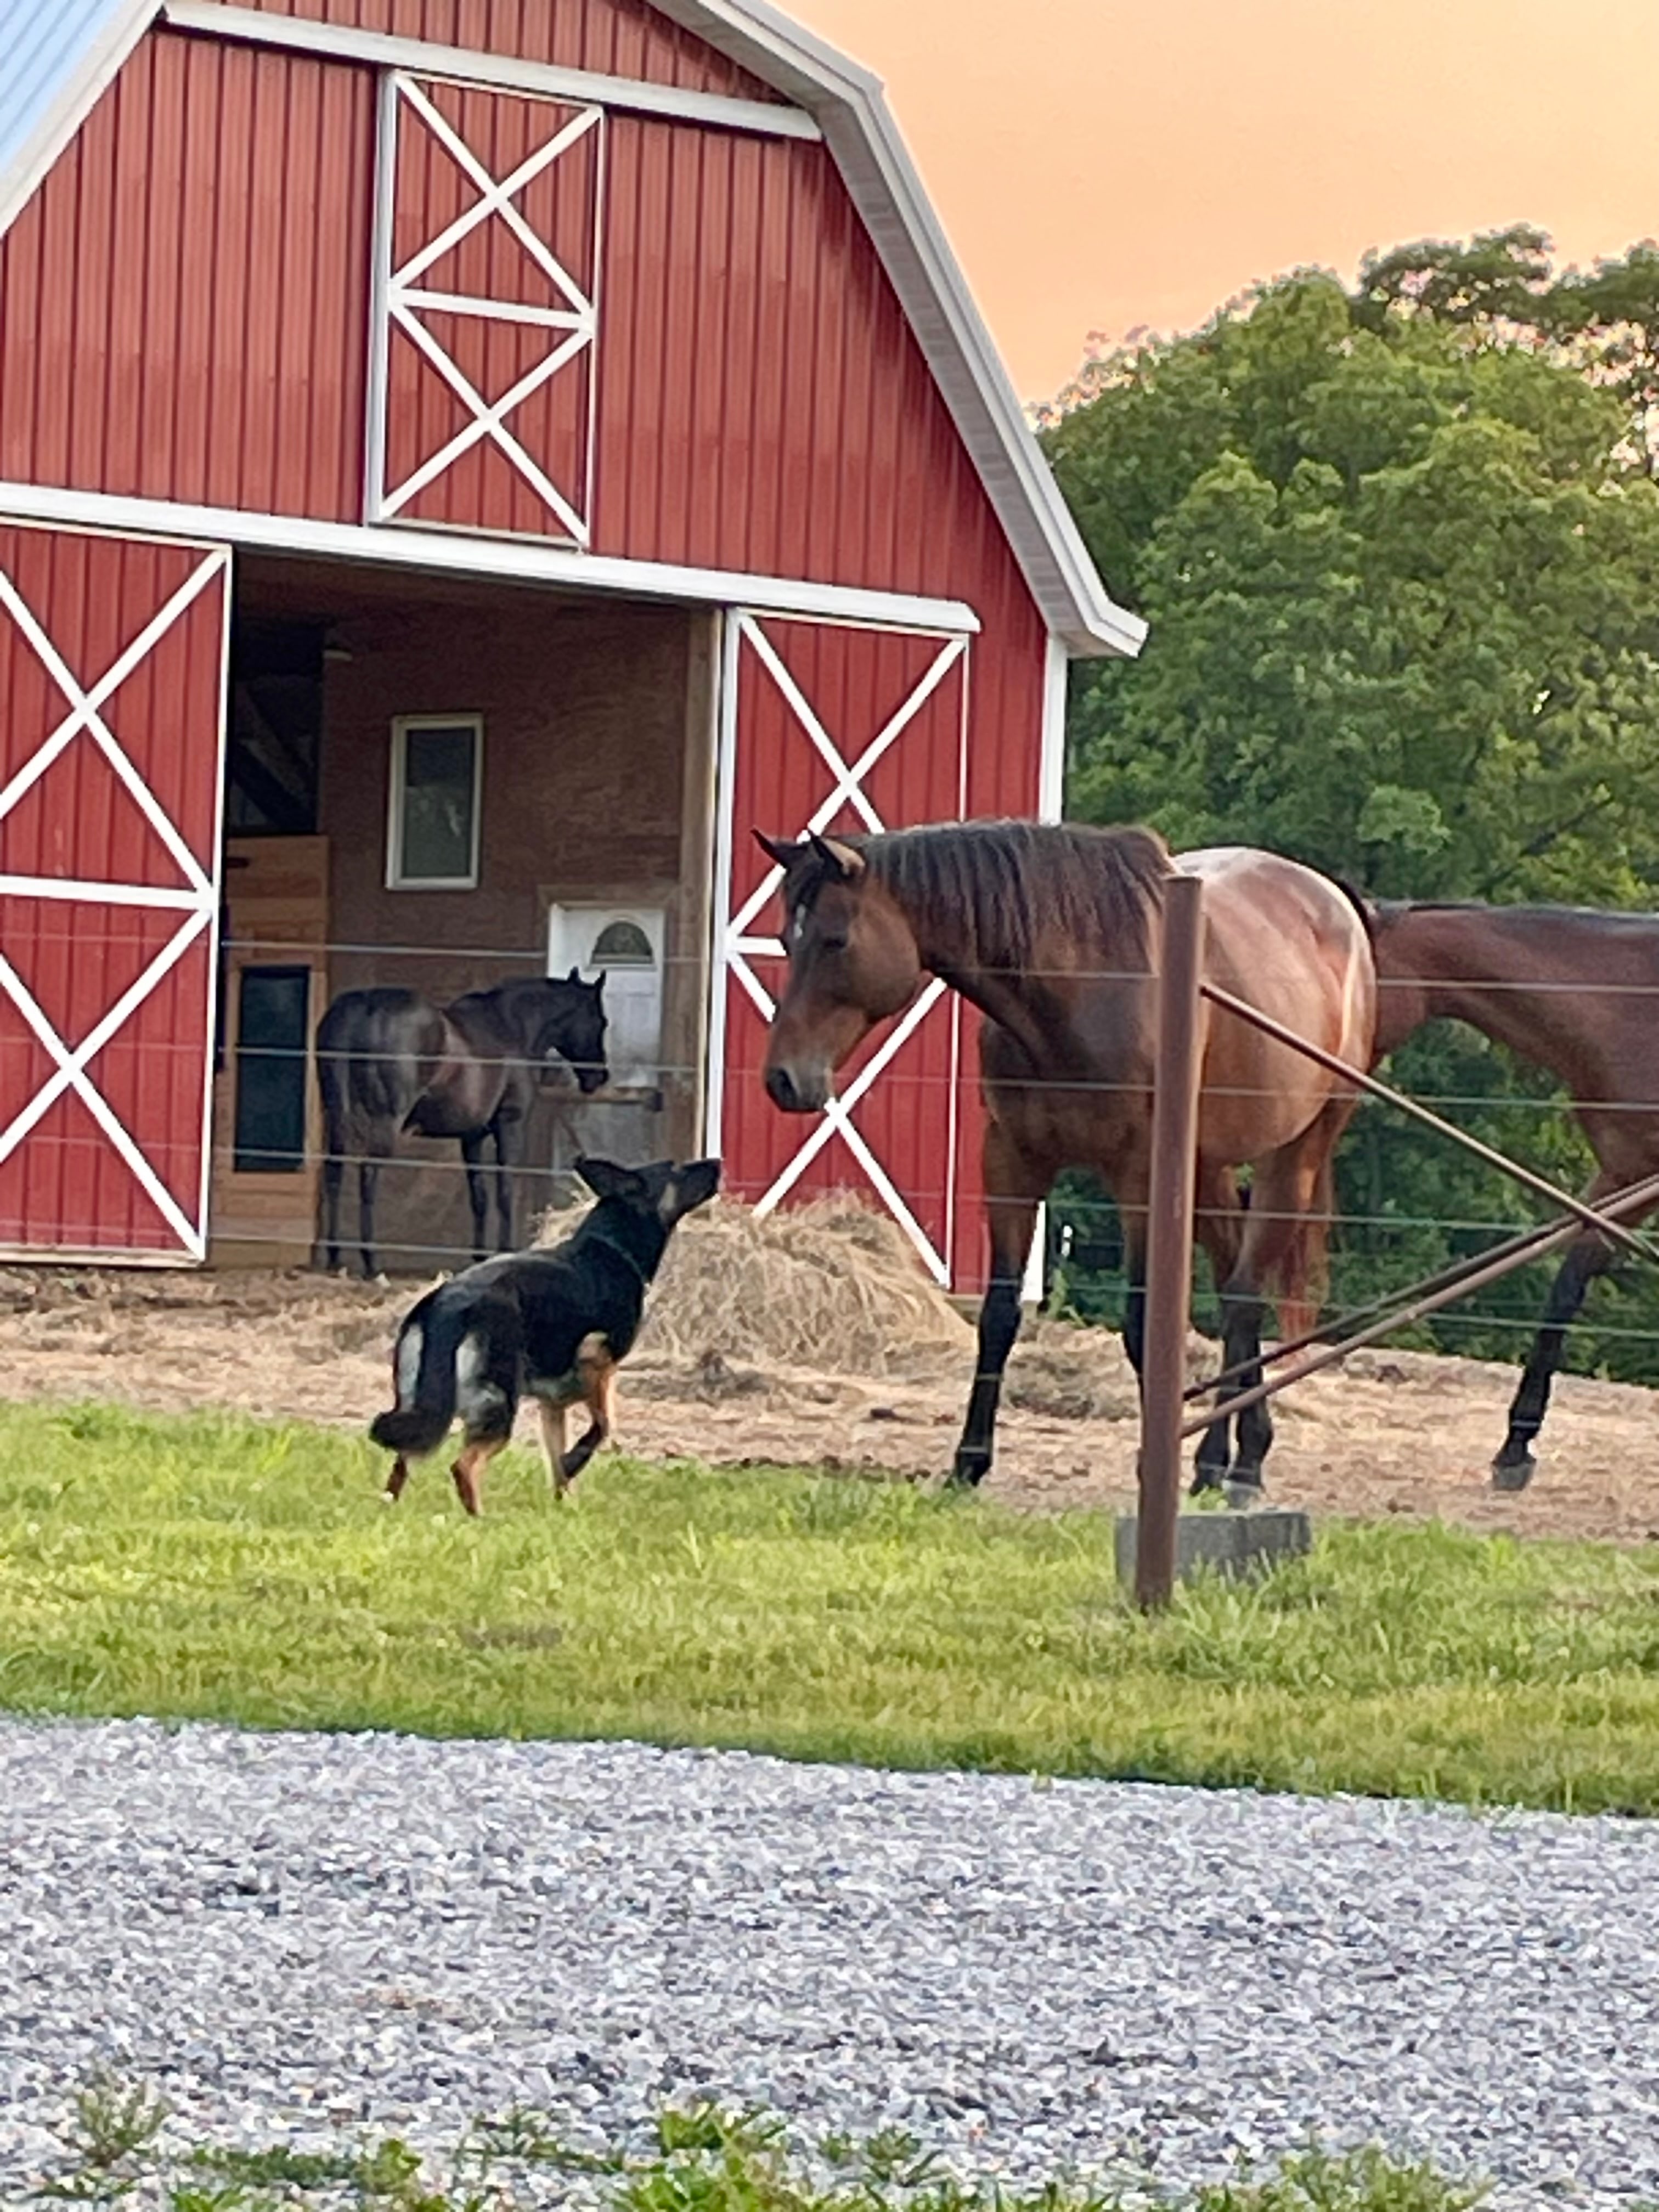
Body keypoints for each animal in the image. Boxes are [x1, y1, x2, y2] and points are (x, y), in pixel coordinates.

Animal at [316, 971, 609, 1278]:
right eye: (601, 1021)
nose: (599, 1078)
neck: (511, 1027)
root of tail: (364, 1007)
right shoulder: (510, 1126)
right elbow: (505, 1191)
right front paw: (504, 1251)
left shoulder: (472, 1137)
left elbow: (479, 1196)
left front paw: (479, 1256)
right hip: (385, 1124)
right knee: (368, 1175)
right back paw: (371, 1261)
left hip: (336, 1119)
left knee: (334, 1172)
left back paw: (335, 1257)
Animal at [757, 821, 1376, 1502]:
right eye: (788, 938)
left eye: (835, 940)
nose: (784, 1080)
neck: (1080, 987)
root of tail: (1333, 904)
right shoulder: (1011, 1162)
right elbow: (999, 1316)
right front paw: (969, 1462)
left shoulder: (1139, 1177)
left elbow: (1143, 1325)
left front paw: (1151, 1470)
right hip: (1208, 1165)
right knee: (1232, 1282)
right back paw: (1214, 1462)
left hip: (1296, 1154)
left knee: (1243, 1297)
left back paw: (1246, 1466)